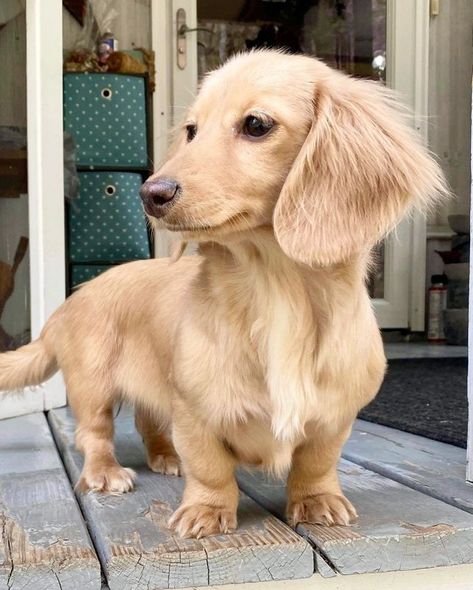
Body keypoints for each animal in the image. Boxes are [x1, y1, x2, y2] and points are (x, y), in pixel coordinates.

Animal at [0, 52, 446, 540]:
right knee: (94, 434)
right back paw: (106, 472)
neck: (274, 288)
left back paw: (165, 456)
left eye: (256, 124)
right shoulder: (195, 409)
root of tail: (68, 303)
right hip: (92, 384)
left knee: (147, 421)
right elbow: (210, 466)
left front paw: (316, 500)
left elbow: (316, 462)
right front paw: (207, 510)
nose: (150, 193)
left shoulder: (335, 416)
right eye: (192, 130)